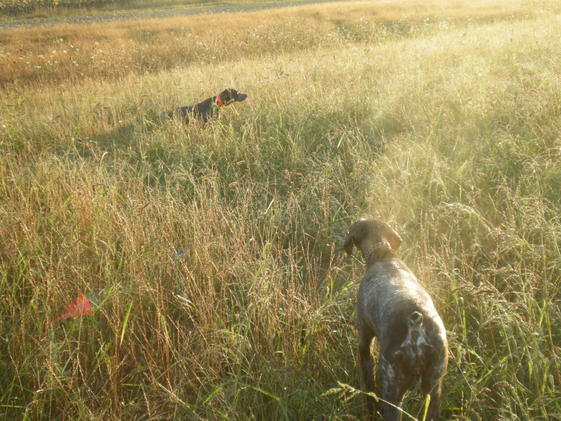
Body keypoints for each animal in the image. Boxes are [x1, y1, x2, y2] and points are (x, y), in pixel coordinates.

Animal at [343, 218, 448, 421]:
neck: (383, 255)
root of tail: (415, 323)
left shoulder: (365, 344)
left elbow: (369, 392)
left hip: (392, 389)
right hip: (433, 389)